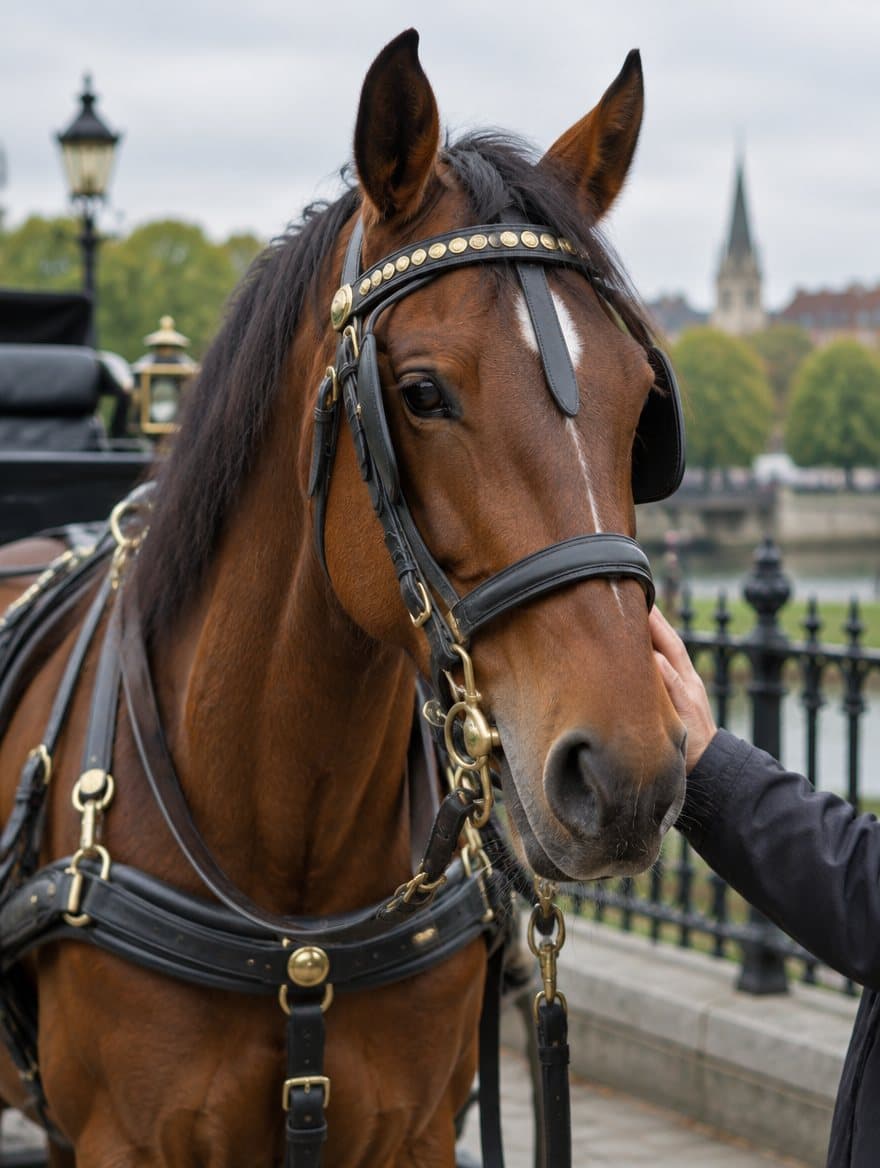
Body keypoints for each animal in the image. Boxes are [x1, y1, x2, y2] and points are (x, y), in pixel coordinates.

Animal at [0, 29, 686, 1167]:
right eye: (421, 392)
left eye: (641, 404)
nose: (626, 773)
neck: (299, 907)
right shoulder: (127, 1142)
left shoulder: (412, 1134)